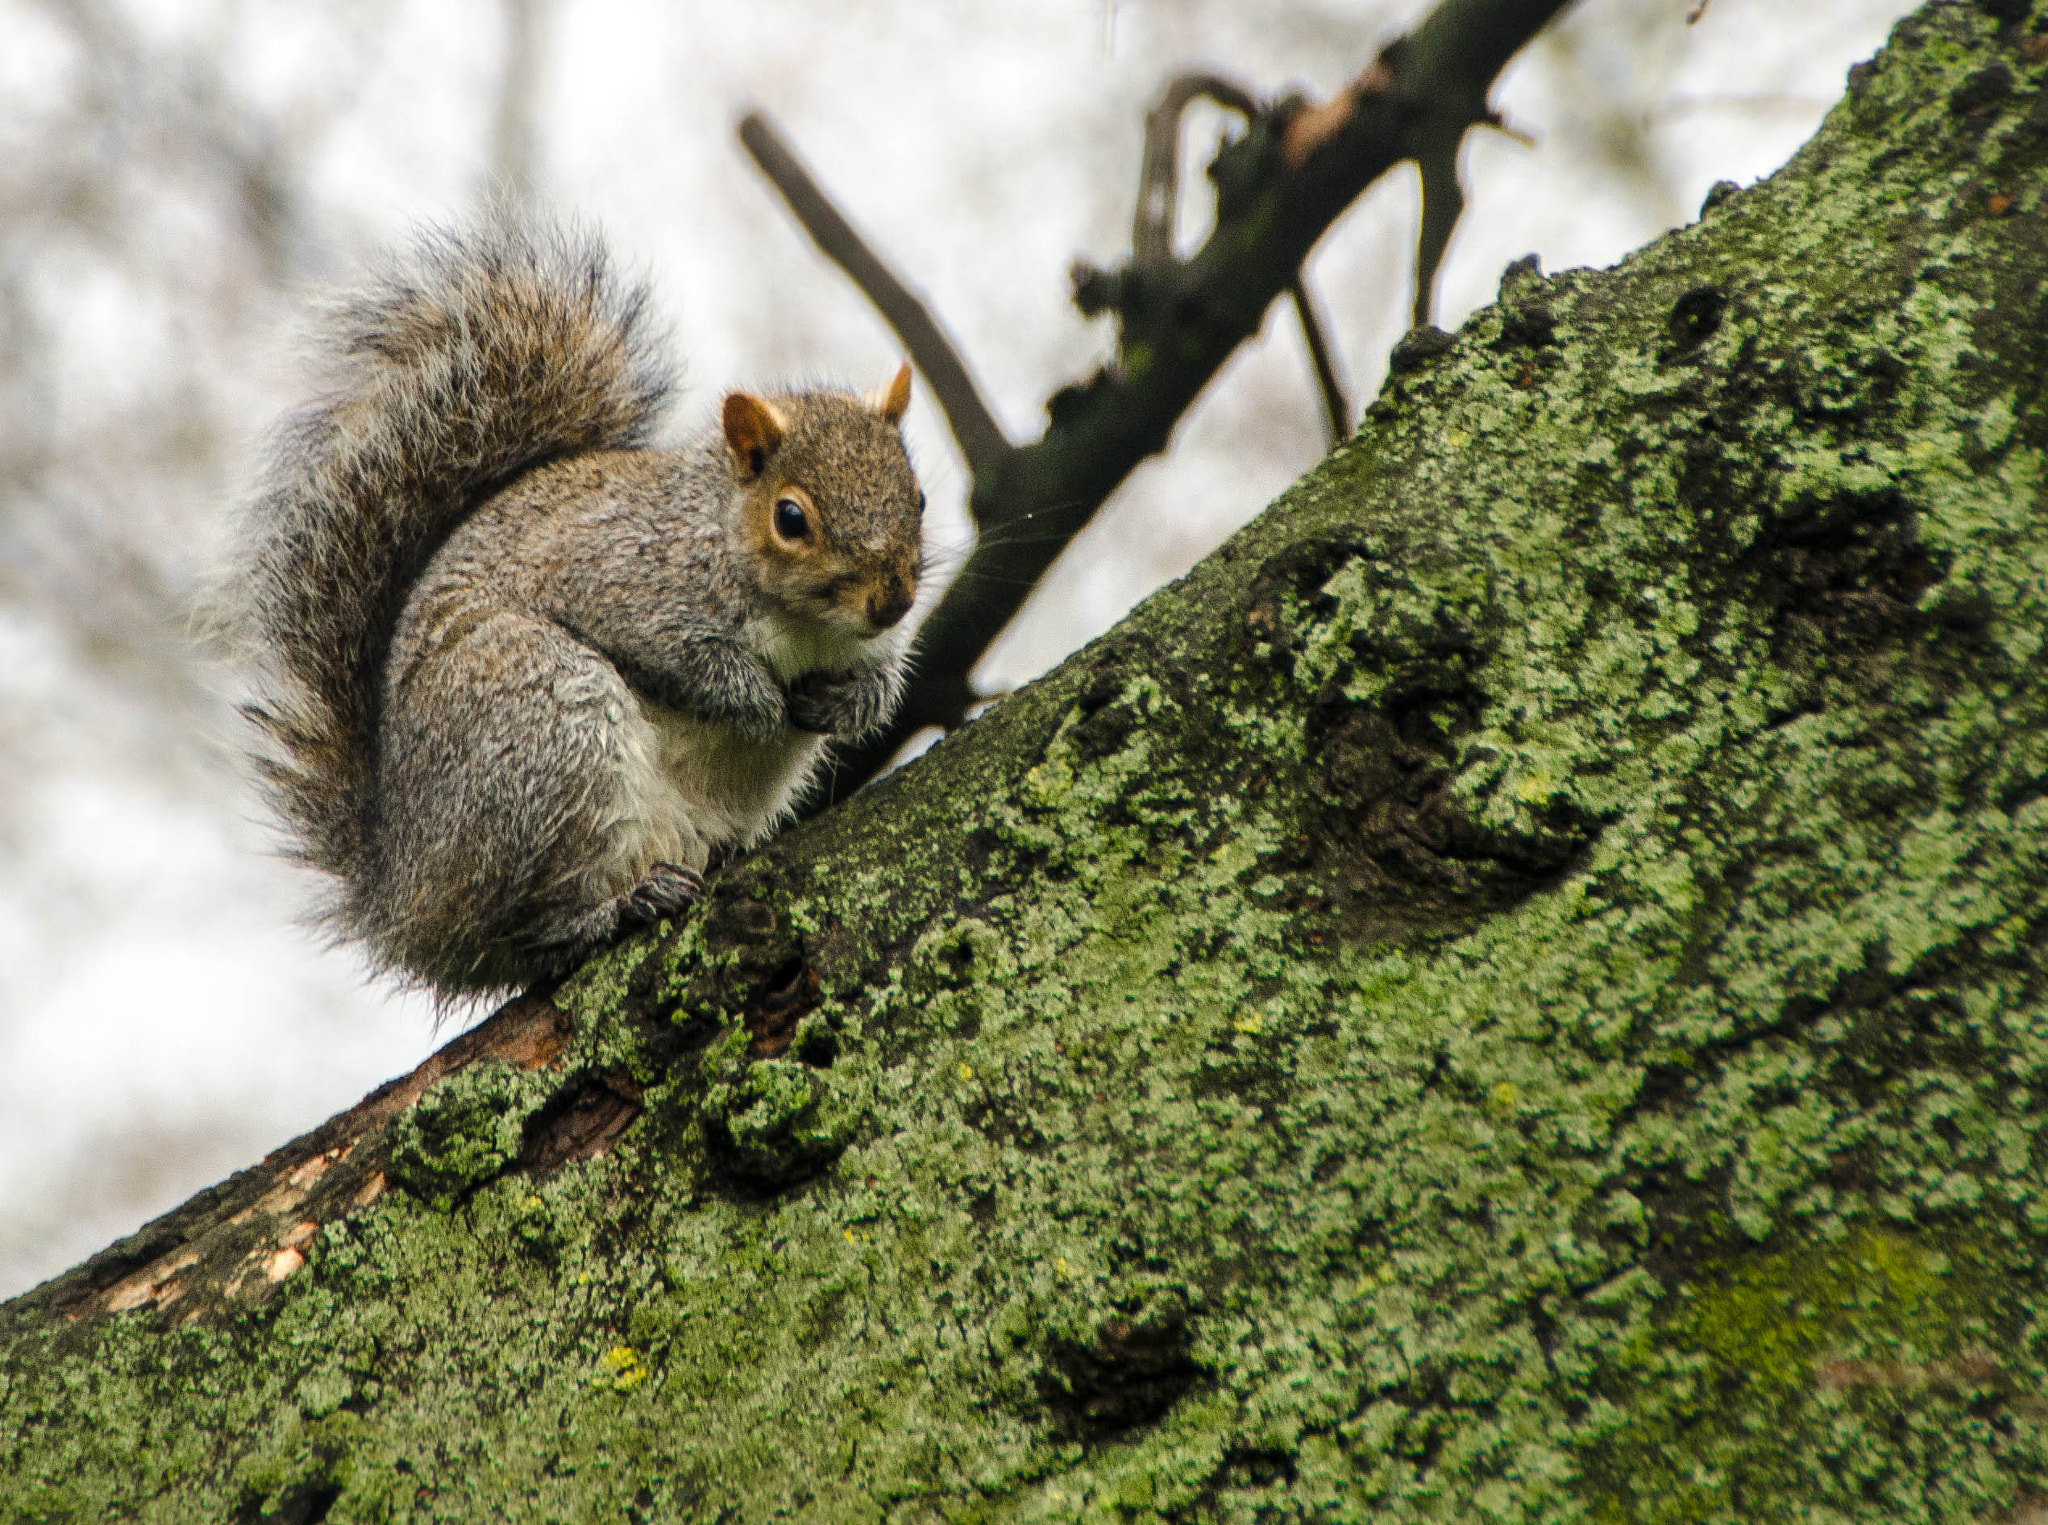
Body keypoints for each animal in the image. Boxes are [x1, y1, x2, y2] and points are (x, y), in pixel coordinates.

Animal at [228, 216, 925, 998]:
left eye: (919, 496)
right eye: (791, 518)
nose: (893, 600)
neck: (808, 626)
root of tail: (401, 895)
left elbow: (878, 676)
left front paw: (853, 703)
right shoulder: (624, 582)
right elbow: (687, 663)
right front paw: (757, 702)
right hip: (543, 727)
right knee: (528, 925)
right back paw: (618, 907)